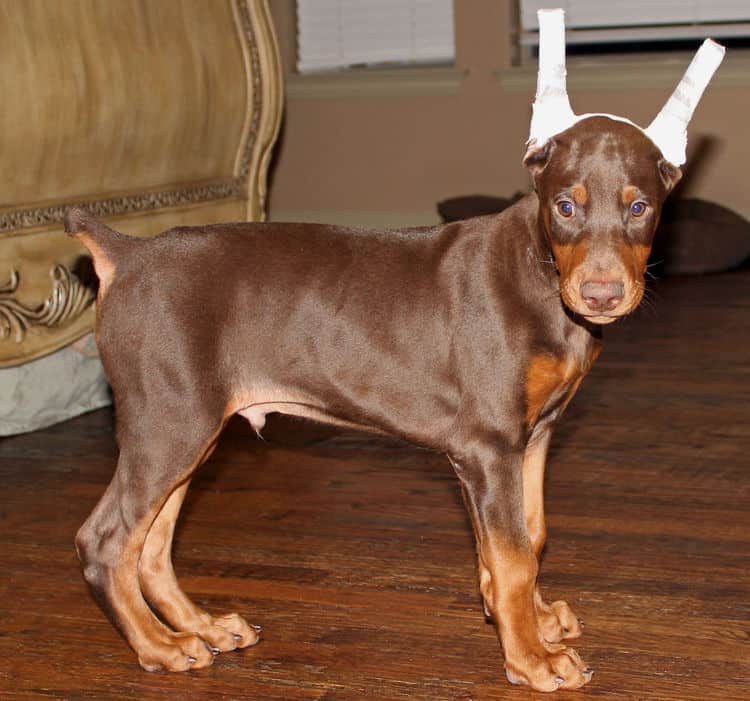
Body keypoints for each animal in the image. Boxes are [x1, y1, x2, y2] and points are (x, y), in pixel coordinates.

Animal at [67, 113, 684, 688]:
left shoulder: (533, 437)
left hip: (187, 428)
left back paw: (202, 628)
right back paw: (160, 647)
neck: (541, 267)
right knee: (107, 543)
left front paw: (533, 620)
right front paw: (531, 658)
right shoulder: (487, 447)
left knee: (150, 547)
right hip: (169, 421)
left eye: (639, 208)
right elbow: (510, 558)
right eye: (564, 206)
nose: (600, 295)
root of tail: (129, 254)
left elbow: (528, 538)